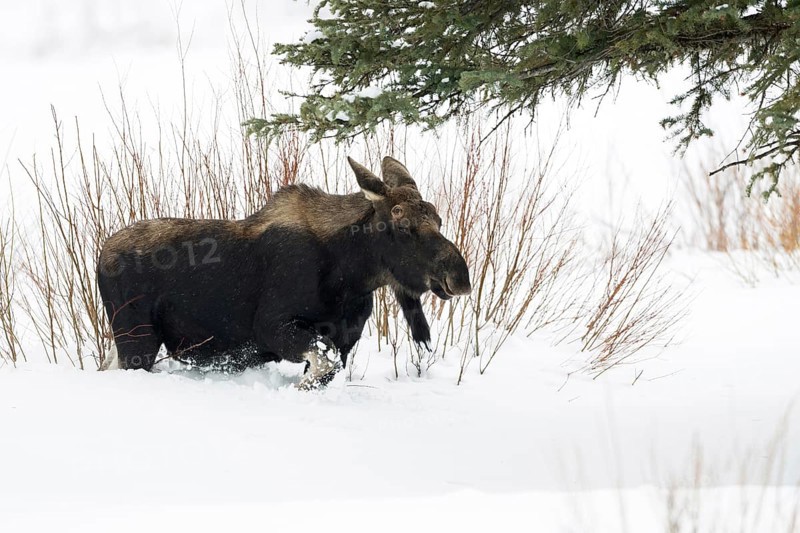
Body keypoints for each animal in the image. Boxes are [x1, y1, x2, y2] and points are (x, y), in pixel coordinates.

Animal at [97, 156, 471, 389]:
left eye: (438, 219)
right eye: (403, 224)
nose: (460, 277)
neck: (350, 276)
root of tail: (101, 255)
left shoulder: (345, 339)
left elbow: (326, 370)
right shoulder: (272, 326)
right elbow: (322, 365)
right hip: (137, 340)